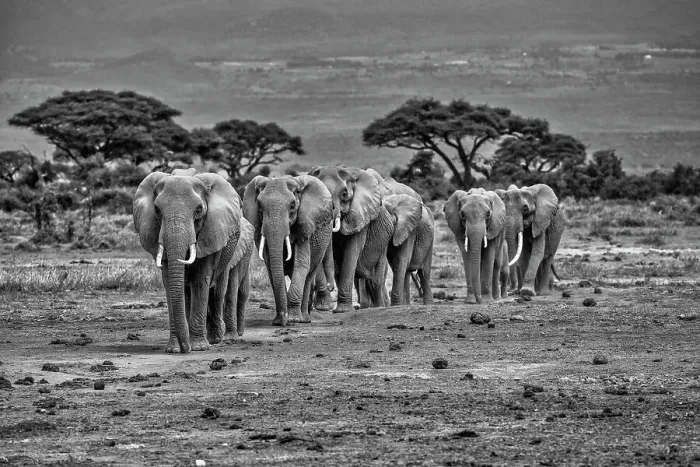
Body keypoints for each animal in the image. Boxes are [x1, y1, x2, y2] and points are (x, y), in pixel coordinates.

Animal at [133, 169, 252, 353]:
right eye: (157, 210)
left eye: (199, 209)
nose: (185, 348)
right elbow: (171, 283)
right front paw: (174, 349)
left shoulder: (211, 233)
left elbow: (200, 281)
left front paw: (199, 347)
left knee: (218, 290)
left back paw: (216, 338)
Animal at [242, 175, 334, 326]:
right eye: (259, 205)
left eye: (292, 205)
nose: (283, 321)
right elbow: (271, 267)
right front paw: (279, 321)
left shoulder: (305, 226)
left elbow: (301, 264)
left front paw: (293, 319)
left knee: (309, 276)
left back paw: (304, 319)